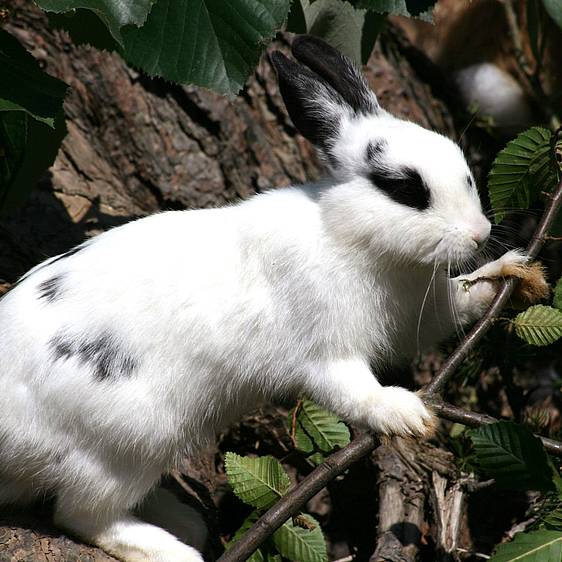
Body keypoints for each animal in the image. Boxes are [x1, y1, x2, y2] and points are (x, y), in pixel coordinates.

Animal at [0, 36, 524, 560]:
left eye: (464, 169)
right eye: (404, 188)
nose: (480, 233)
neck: (347, 236)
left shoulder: (421, 313)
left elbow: (461, 305)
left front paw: (511, 273)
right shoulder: (325, 353)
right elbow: (354, 392)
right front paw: (409, 416)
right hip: (128, 443)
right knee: (82, 516)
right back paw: (178, 547)